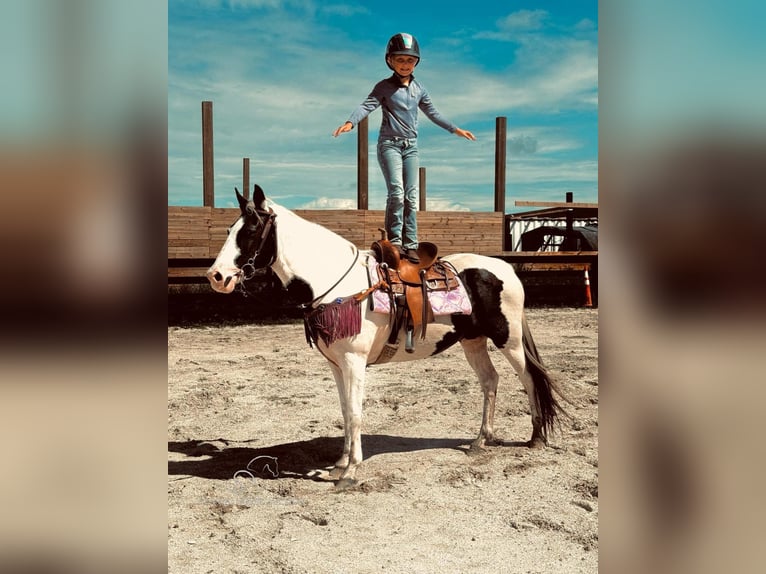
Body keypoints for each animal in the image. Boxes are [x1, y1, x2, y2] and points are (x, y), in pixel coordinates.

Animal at [207, 187, 568, 488]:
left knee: (529, 378)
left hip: (509, 339)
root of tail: (506, 270)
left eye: (250, 230)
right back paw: (480, 441)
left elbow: (355, 413)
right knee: (490, 380)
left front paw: (350, 473)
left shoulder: (354, 362)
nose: (217, 276)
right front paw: (338, 465)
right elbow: (344, 410)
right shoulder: (337, 365)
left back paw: (536, 438)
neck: (339, 284)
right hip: (473, 341)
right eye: (229, 230)